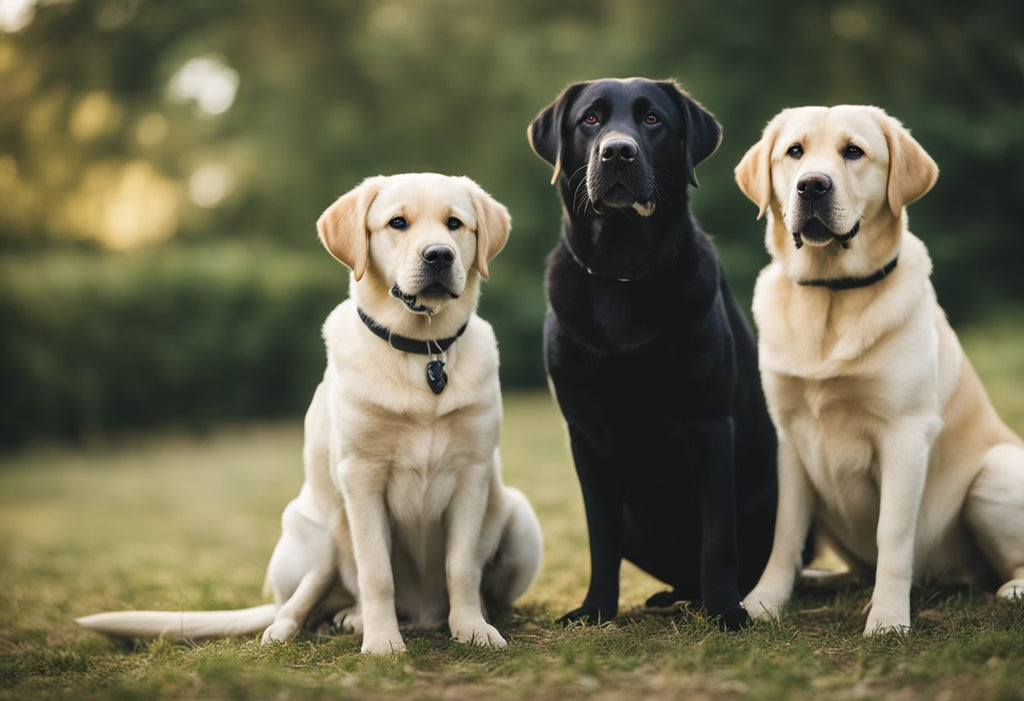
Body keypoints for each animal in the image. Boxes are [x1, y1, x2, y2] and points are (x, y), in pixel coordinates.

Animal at [77, 171, 544, 654]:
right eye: (397, 222)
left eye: (455, 224)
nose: (439, 255)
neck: (423, 351)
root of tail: (421, 615)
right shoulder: (361, 477)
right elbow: (376, 572)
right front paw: (382, 642)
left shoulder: (472, 473)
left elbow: (461, 566)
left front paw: (472, 628)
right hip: (317, 534)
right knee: (303, 597)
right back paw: (308, 626)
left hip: (520, 517)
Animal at [528, 77, 774, 630]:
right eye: (590, 120)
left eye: (653, 119)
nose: (618, 152)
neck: (624, 269)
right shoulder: (585, 435)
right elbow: (600, 538)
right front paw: (595, 609)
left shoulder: (710, 422)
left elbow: (718, 538)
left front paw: (726, 609)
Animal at [737, 106, 1024, 638]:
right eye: (794, 151)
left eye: (853, 151)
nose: (812, 186)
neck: (831, 293)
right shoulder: (789, 437)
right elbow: (785, 532)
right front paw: (763, 601)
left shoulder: (905, 434)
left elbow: (892, 534)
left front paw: (888, 619)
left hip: (993, 476)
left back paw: (1012, 589)